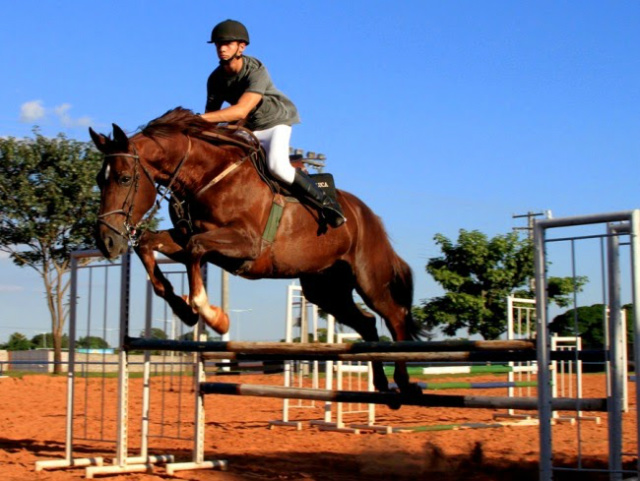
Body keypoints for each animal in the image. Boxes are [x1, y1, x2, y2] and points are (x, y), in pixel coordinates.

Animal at [89, 108, 420, 394]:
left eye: (124, 178)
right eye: (98, 180)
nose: (106, 242)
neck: (206, 176)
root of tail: (369, 215)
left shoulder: (246, 243)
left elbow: (196, 250)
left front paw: (213, 316)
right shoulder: (186, 238)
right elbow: (150, 244)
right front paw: (183, 309)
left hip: (369, 279)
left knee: (395, 316)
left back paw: (403, 382)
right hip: (325, 290)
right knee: (366, 322)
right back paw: (381, 383)